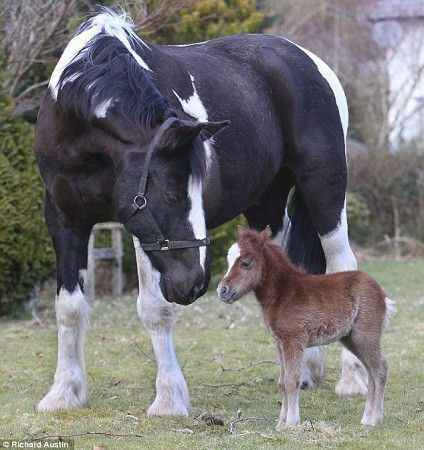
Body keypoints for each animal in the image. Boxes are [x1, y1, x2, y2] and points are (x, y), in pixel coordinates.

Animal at [34, 10, 364, 416]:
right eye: (173, 194)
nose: (195, 284)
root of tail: (310, 62)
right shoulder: (64, 220)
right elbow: (69, 307)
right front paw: (63, 392)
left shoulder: (140, 231)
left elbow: (154, 310)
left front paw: (169, 399)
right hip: (266, 204)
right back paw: (302, 373)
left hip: (325, 189)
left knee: (342, 263)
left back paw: (352, 380)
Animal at [217, 227, 396, 428]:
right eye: (228, 261)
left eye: (245, 263)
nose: (222, 290)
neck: (283, 293)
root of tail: (382, 294)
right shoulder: (280, 343)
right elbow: (282, 381)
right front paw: (281, 422)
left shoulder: (293, 340)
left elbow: (292, 380)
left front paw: (291, 423)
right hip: (351, 339)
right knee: (371, 371)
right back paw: (366, 419)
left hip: (365, 335)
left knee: (380, 369)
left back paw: (375, 418)